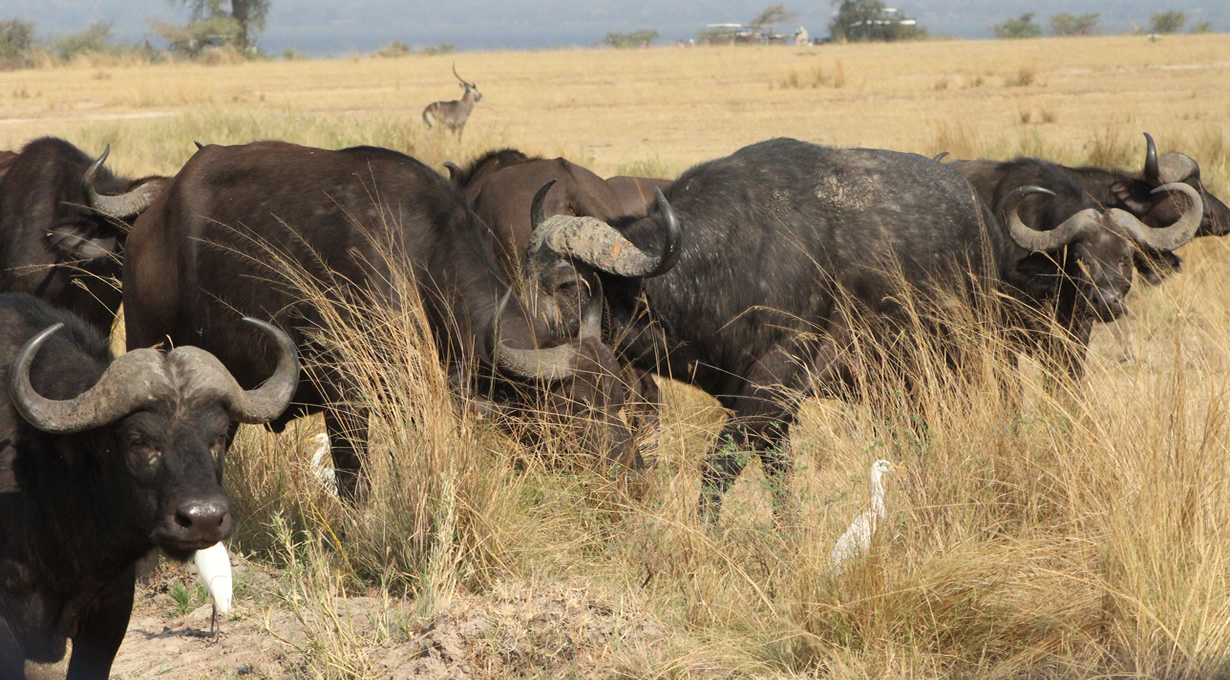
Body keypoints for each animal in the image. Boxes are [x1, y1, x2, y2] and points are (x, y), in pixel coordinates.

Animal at [122, 140, 644, 499]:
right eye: (574, 409)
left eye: (618, 399)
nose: (633, 470)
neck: (416, 260)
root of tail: (150, 221)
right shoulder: (345, 397)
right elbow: (355, 486)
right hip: (148, 343)